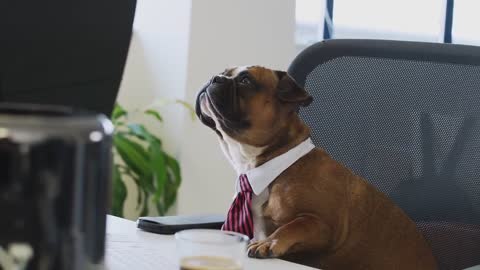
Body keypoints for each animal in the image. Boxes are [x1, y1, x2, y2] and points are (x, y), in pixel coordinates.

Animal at [195, 66, 438, 270]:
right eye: (224, 72)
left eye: (246, 80)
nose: (214, 78)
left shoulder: (323, 225)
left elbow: (295, 225)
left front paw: (269, 242)